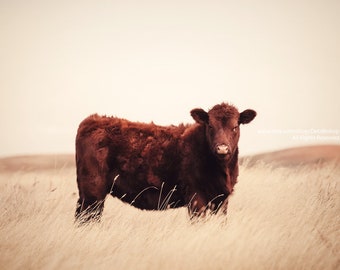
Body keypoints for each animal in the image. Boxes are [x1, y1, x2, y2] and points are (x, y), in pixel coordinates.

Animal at [74, 102, 255, 223]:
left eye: (235, 126)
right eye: (210, 126)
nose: (222, 149)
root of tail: (92, 120)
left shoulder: (222, 199)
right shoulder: (196, 197)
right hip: (92, 191)